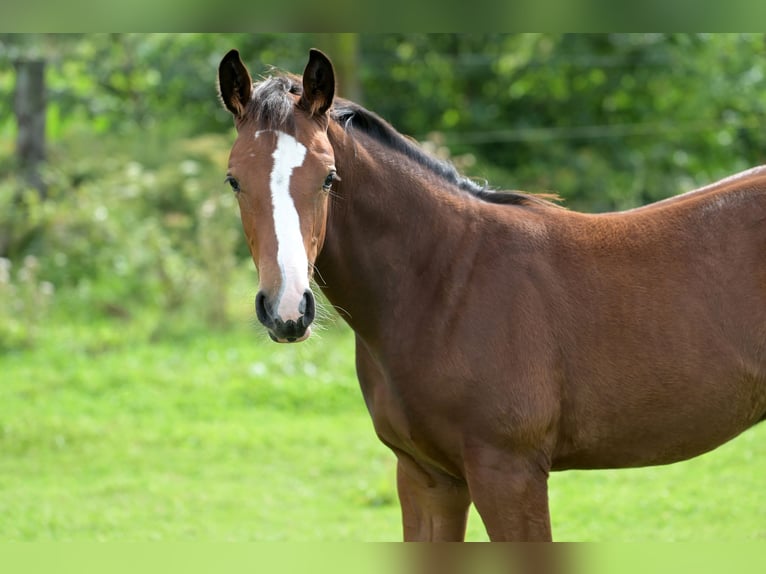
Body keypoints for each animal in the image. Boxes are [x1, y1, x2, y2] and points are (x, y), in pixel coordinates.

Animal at [214, 47, 766, 544]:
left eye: (329, 178)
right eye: (234, 180)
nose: (287, 310)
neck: (443, 282)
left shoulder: (509, 473)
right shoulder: (427, 478)